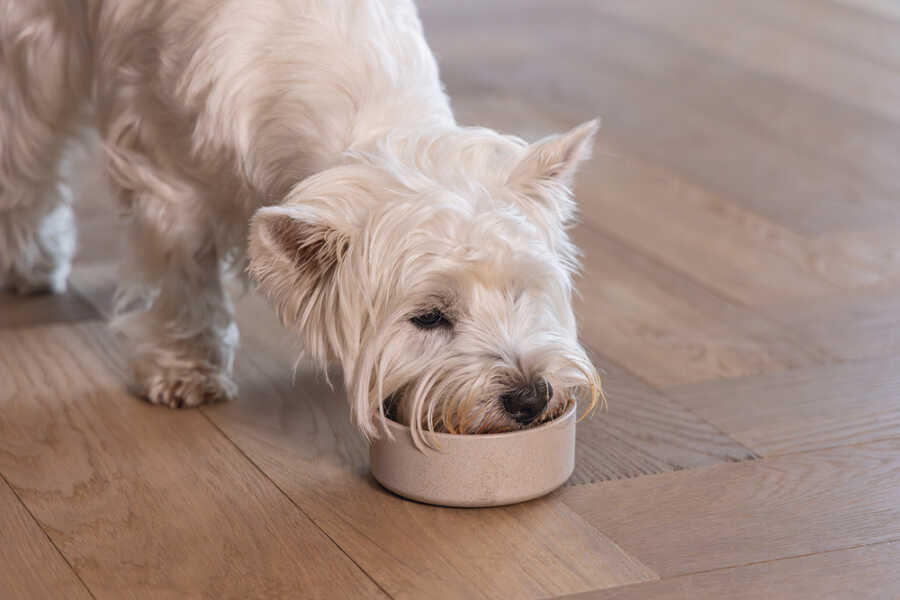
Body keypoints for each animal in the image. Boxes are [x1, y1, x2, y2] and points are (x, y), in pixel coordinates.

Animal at [0, 0, 601, 441]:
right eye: (428, 318)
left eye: (522, 291)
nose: (529, 396)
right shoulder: (166, 169)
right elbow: (183, 270)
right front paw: (185, 368)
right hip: (34, 45)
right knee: (24, 149)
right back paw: (29, 262)